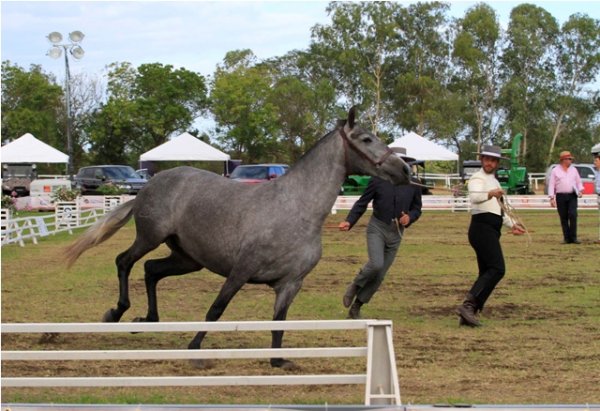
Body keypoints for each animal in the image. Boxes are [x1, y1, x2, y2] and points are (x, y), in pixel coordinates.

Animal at [65, 106, 412, 370]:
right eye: (366, 139)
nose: (404, 170)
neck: (295, 209)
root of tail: (150, 184)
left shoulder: (291, 283)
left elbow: (279, 322)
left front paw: (278, 361)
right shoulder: (241, 270)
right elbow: (216, 309)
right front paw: (195, 351)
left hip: (188, 258)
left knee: (151, 270)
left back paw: (147, 320)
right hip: (150, 237)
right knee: (124, 262)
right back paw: (116, 313)